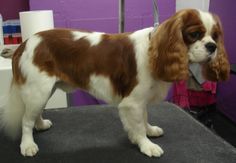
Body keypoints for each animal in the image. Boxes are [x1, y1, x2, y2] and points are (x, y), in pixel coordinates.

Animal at [0, 8, 230, 157]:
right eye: (194, 34)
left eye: (215, 36)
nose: (212, 46)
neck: (156, 50)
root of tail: (24, 43)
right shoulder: (132, 102)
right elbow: (137, 125)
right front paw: (146, 145)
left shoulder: (140, 100)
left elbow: (144, 118)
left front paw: (149, 131)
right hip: (38, 89)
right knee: (25, 120)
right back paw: (27, 145)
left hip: (44, 89)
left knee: (35, 113)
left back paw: (40, 125)